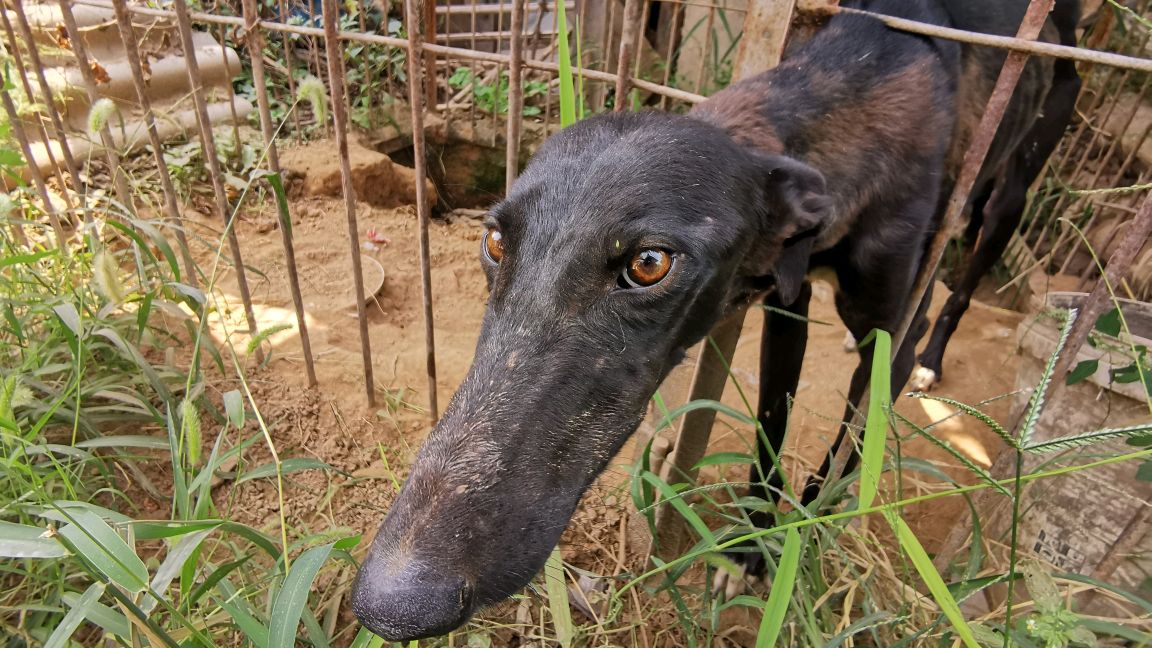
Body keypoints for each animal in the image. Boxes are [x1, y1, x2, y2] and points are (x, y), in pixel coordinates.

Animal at [350, 0, 1078, 636]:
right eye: (496, 242)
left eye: (649, 263)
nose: (394, 601)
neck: (852, 82)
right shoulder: (788, 304)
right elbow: (771, 419)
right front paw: (754, 535)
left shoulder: (892, 329)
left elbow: (850, 446)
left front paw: (795, 536)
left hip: (1011, 195)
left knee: (968, 278)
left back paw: (935, 361)